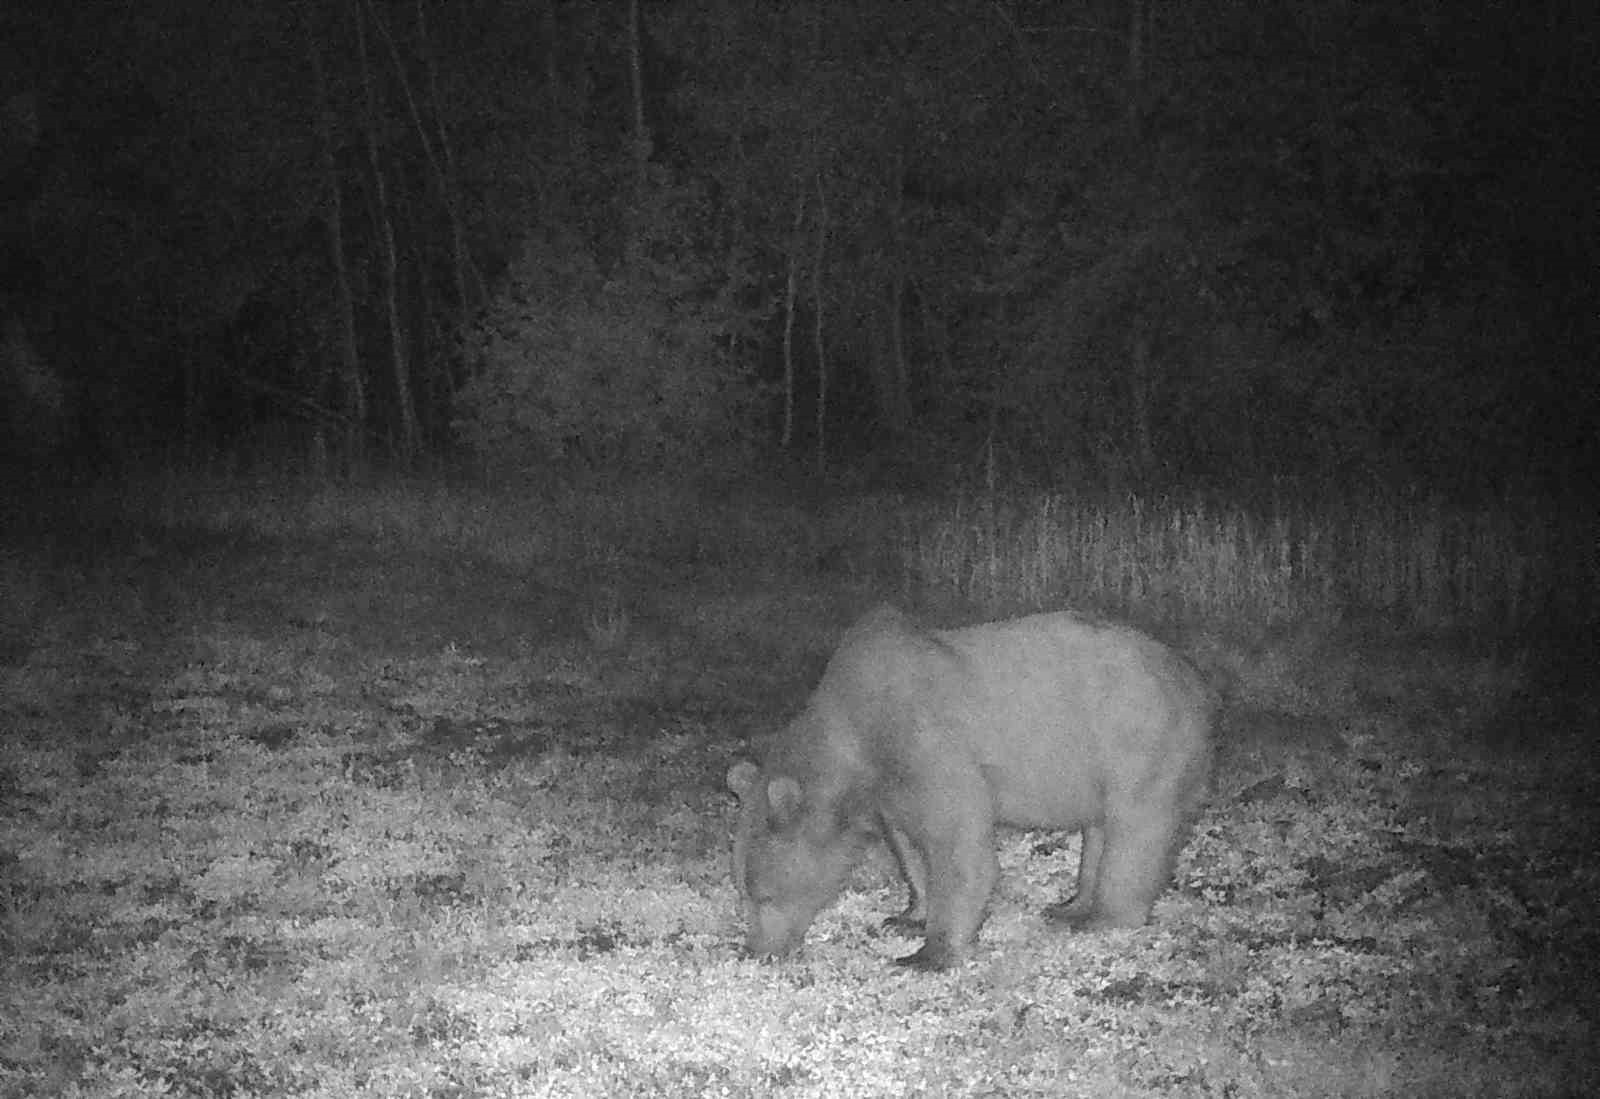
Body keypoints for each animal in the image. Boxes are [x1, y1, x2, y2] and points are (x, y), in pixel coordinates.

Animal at [726, 601, 1209, 972]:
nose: (756, 951)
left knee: (1135, 831)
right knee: (1099, 830)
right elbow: (910, 845)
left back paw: (1105, 918)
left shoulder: (928, 743)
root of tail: (1190, 675)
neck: (858, 740)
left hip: (1138, 738)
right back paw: (1070, 906)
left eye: (764, 895)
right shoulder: (890, 789)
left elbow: (958, 843)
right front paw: (907, 916)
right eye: (743, 892)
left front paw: (928, 954)